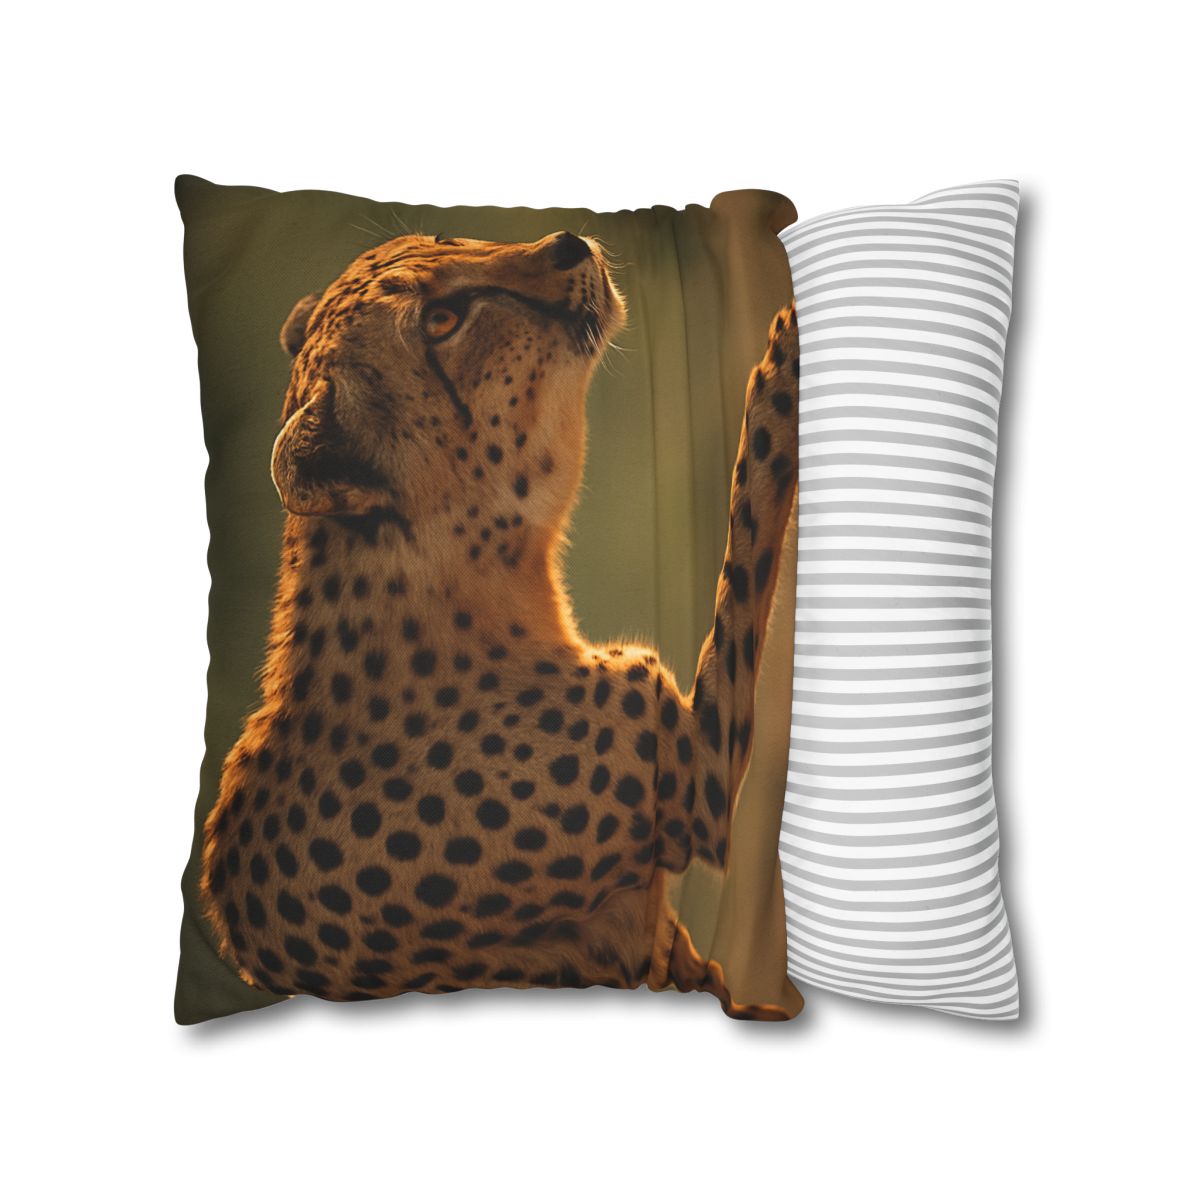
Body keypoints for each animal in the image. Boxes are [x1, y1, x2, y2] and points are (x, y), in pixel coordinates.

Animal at [200, 228, 799, 1018]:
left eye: (444, 238)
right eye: (440, 322)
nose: (569, 243)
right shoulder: (694, 799)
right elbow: (748, 527)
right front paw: (784, 361)